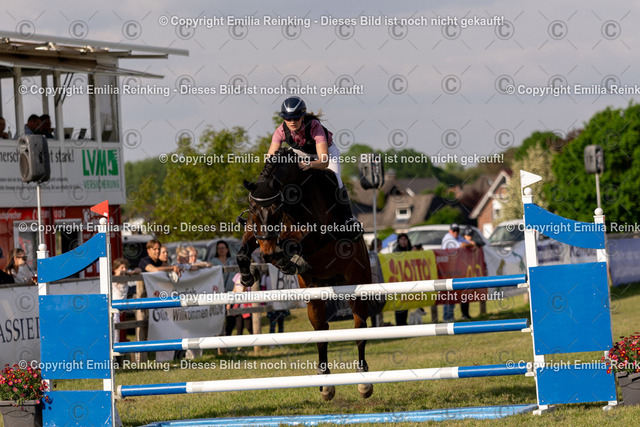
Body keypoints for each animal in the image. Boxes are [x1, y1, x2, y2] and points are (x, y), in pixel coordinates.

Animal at [236, 148, 375, 400]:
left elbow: (290, 244)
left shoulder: (316, 233)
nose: (266, 250)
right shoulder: (255, 231)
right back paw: (326, 385)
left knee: (359, 326)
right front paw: (248, 275)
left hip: (357, 284)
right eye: (252, 209)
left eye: (277, 208)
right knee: (321, 330)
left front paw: (288, 261)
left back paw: (364, 382)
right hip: (314, 293)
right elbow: (245, 251)